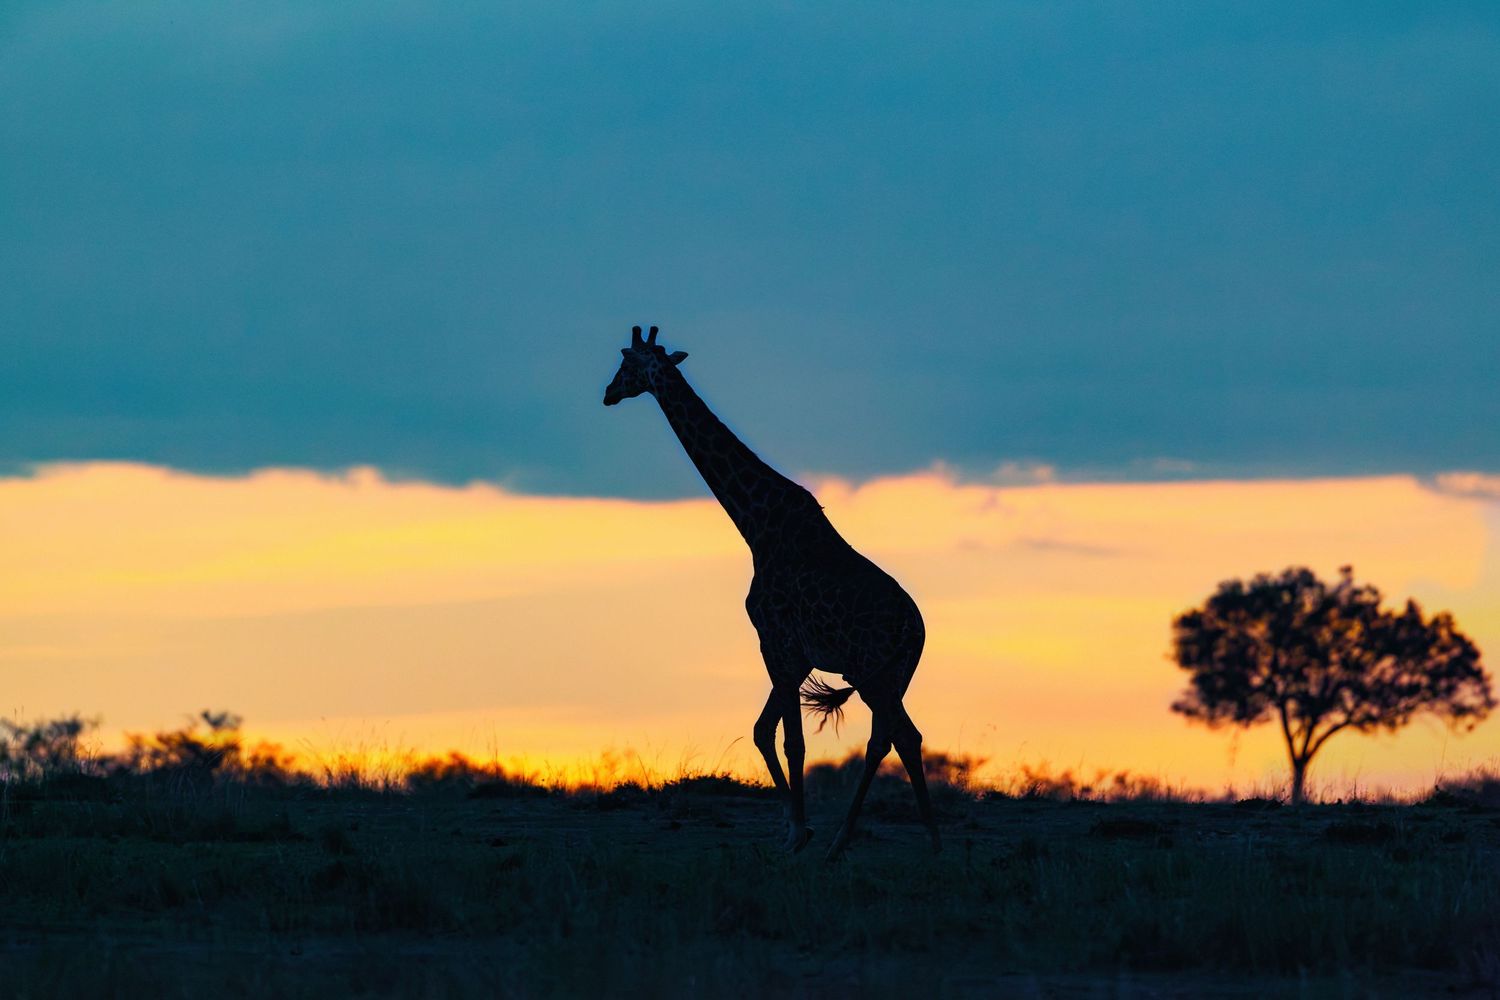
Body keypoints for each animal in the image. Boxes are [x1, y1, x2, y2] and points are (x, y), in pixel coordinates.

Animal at [604, 325, 939, 861]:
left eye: (626, 363)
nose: (609, 393)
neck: (755, 525)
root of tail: (916, 628)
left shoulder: (775, 642)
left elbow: (788, 741)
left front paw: (798, 832)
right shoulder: (791, 655)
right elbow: (765, 731)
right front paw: (794, 827)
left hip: (871, 672)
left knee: (894, 735)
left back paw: (886, 838)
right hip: (891, 674)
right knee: (896, 736)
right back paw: (890, 839)